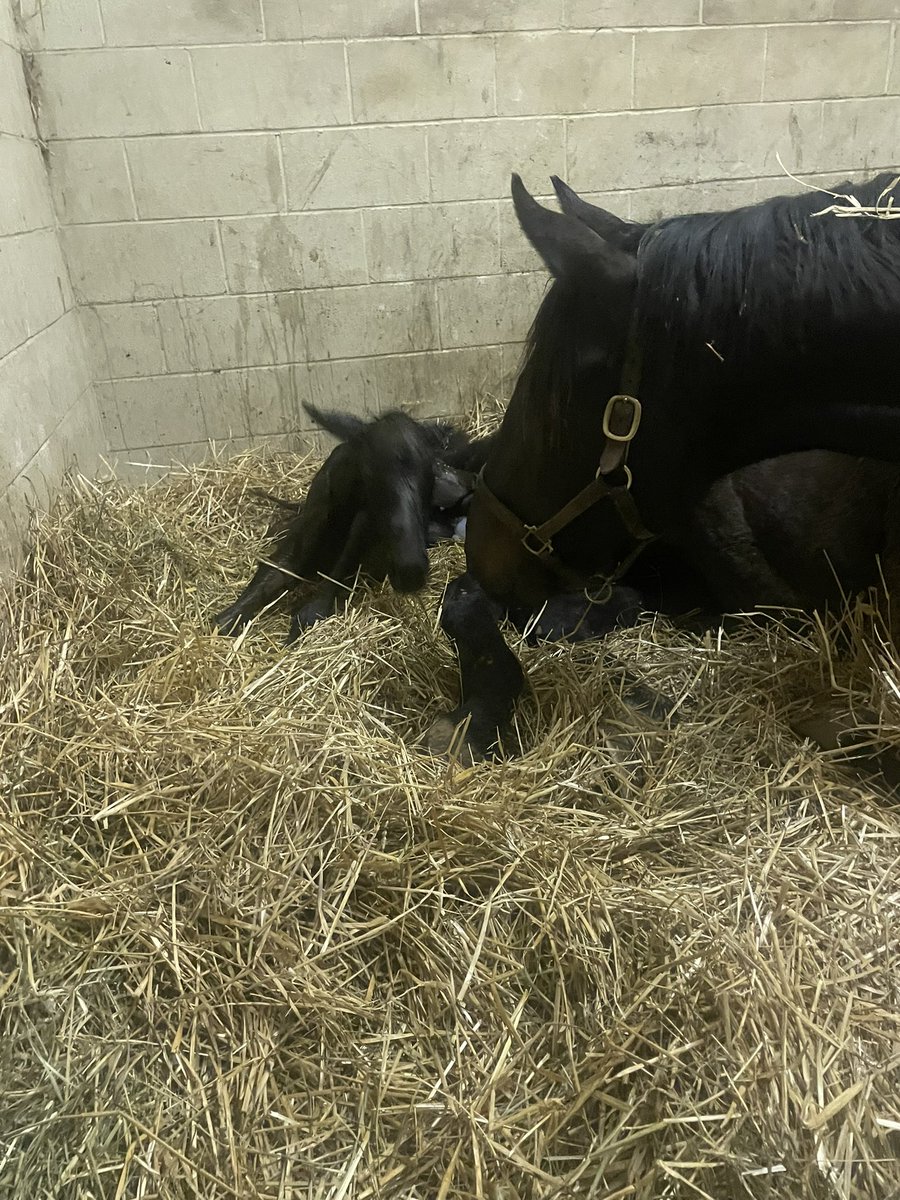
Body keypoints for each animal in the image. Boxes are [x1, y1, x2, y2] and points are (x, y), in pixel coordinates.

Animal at [213, 404, 488, 642]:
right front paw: (227, 620)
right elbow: (264, 580)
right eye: (369, 472)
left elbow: (312, 611)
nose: (411, 570)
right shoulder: (298, 545)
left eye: (429, 476)